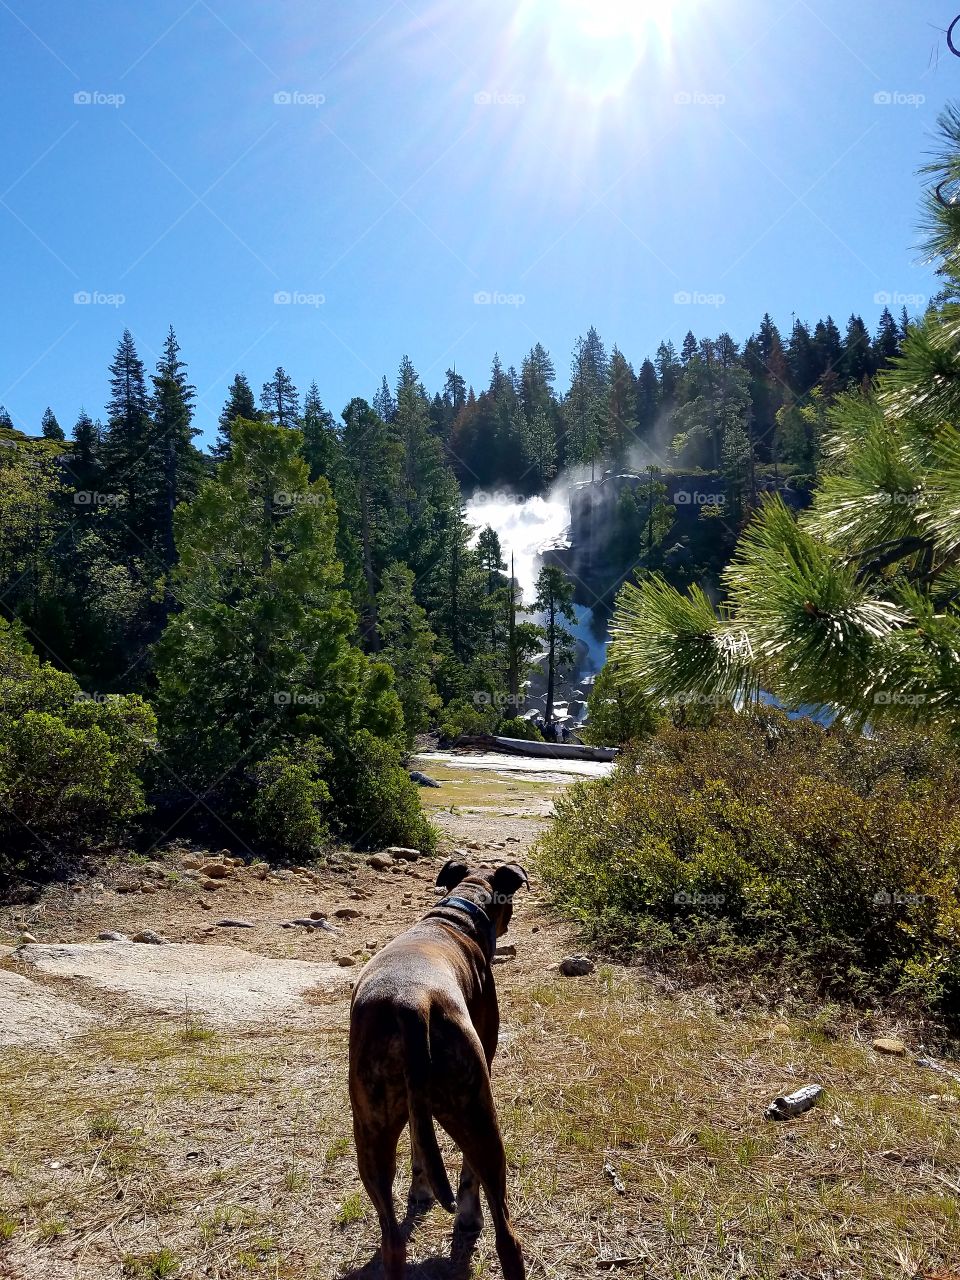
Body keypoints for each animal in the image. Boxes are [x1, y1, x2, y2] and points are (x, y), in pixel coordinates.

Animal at [350, 860, 529, 1280]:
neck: (457, 915)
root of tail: (411, 1003)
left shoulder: (415, 1109)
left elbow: (421, 1142)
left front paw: (421, 1191)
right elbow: (467, 1174)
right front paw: (467, 1214)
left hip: (370, 1133)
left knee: (392, 1241)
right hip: (478, 1116)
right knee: (507, 1237)